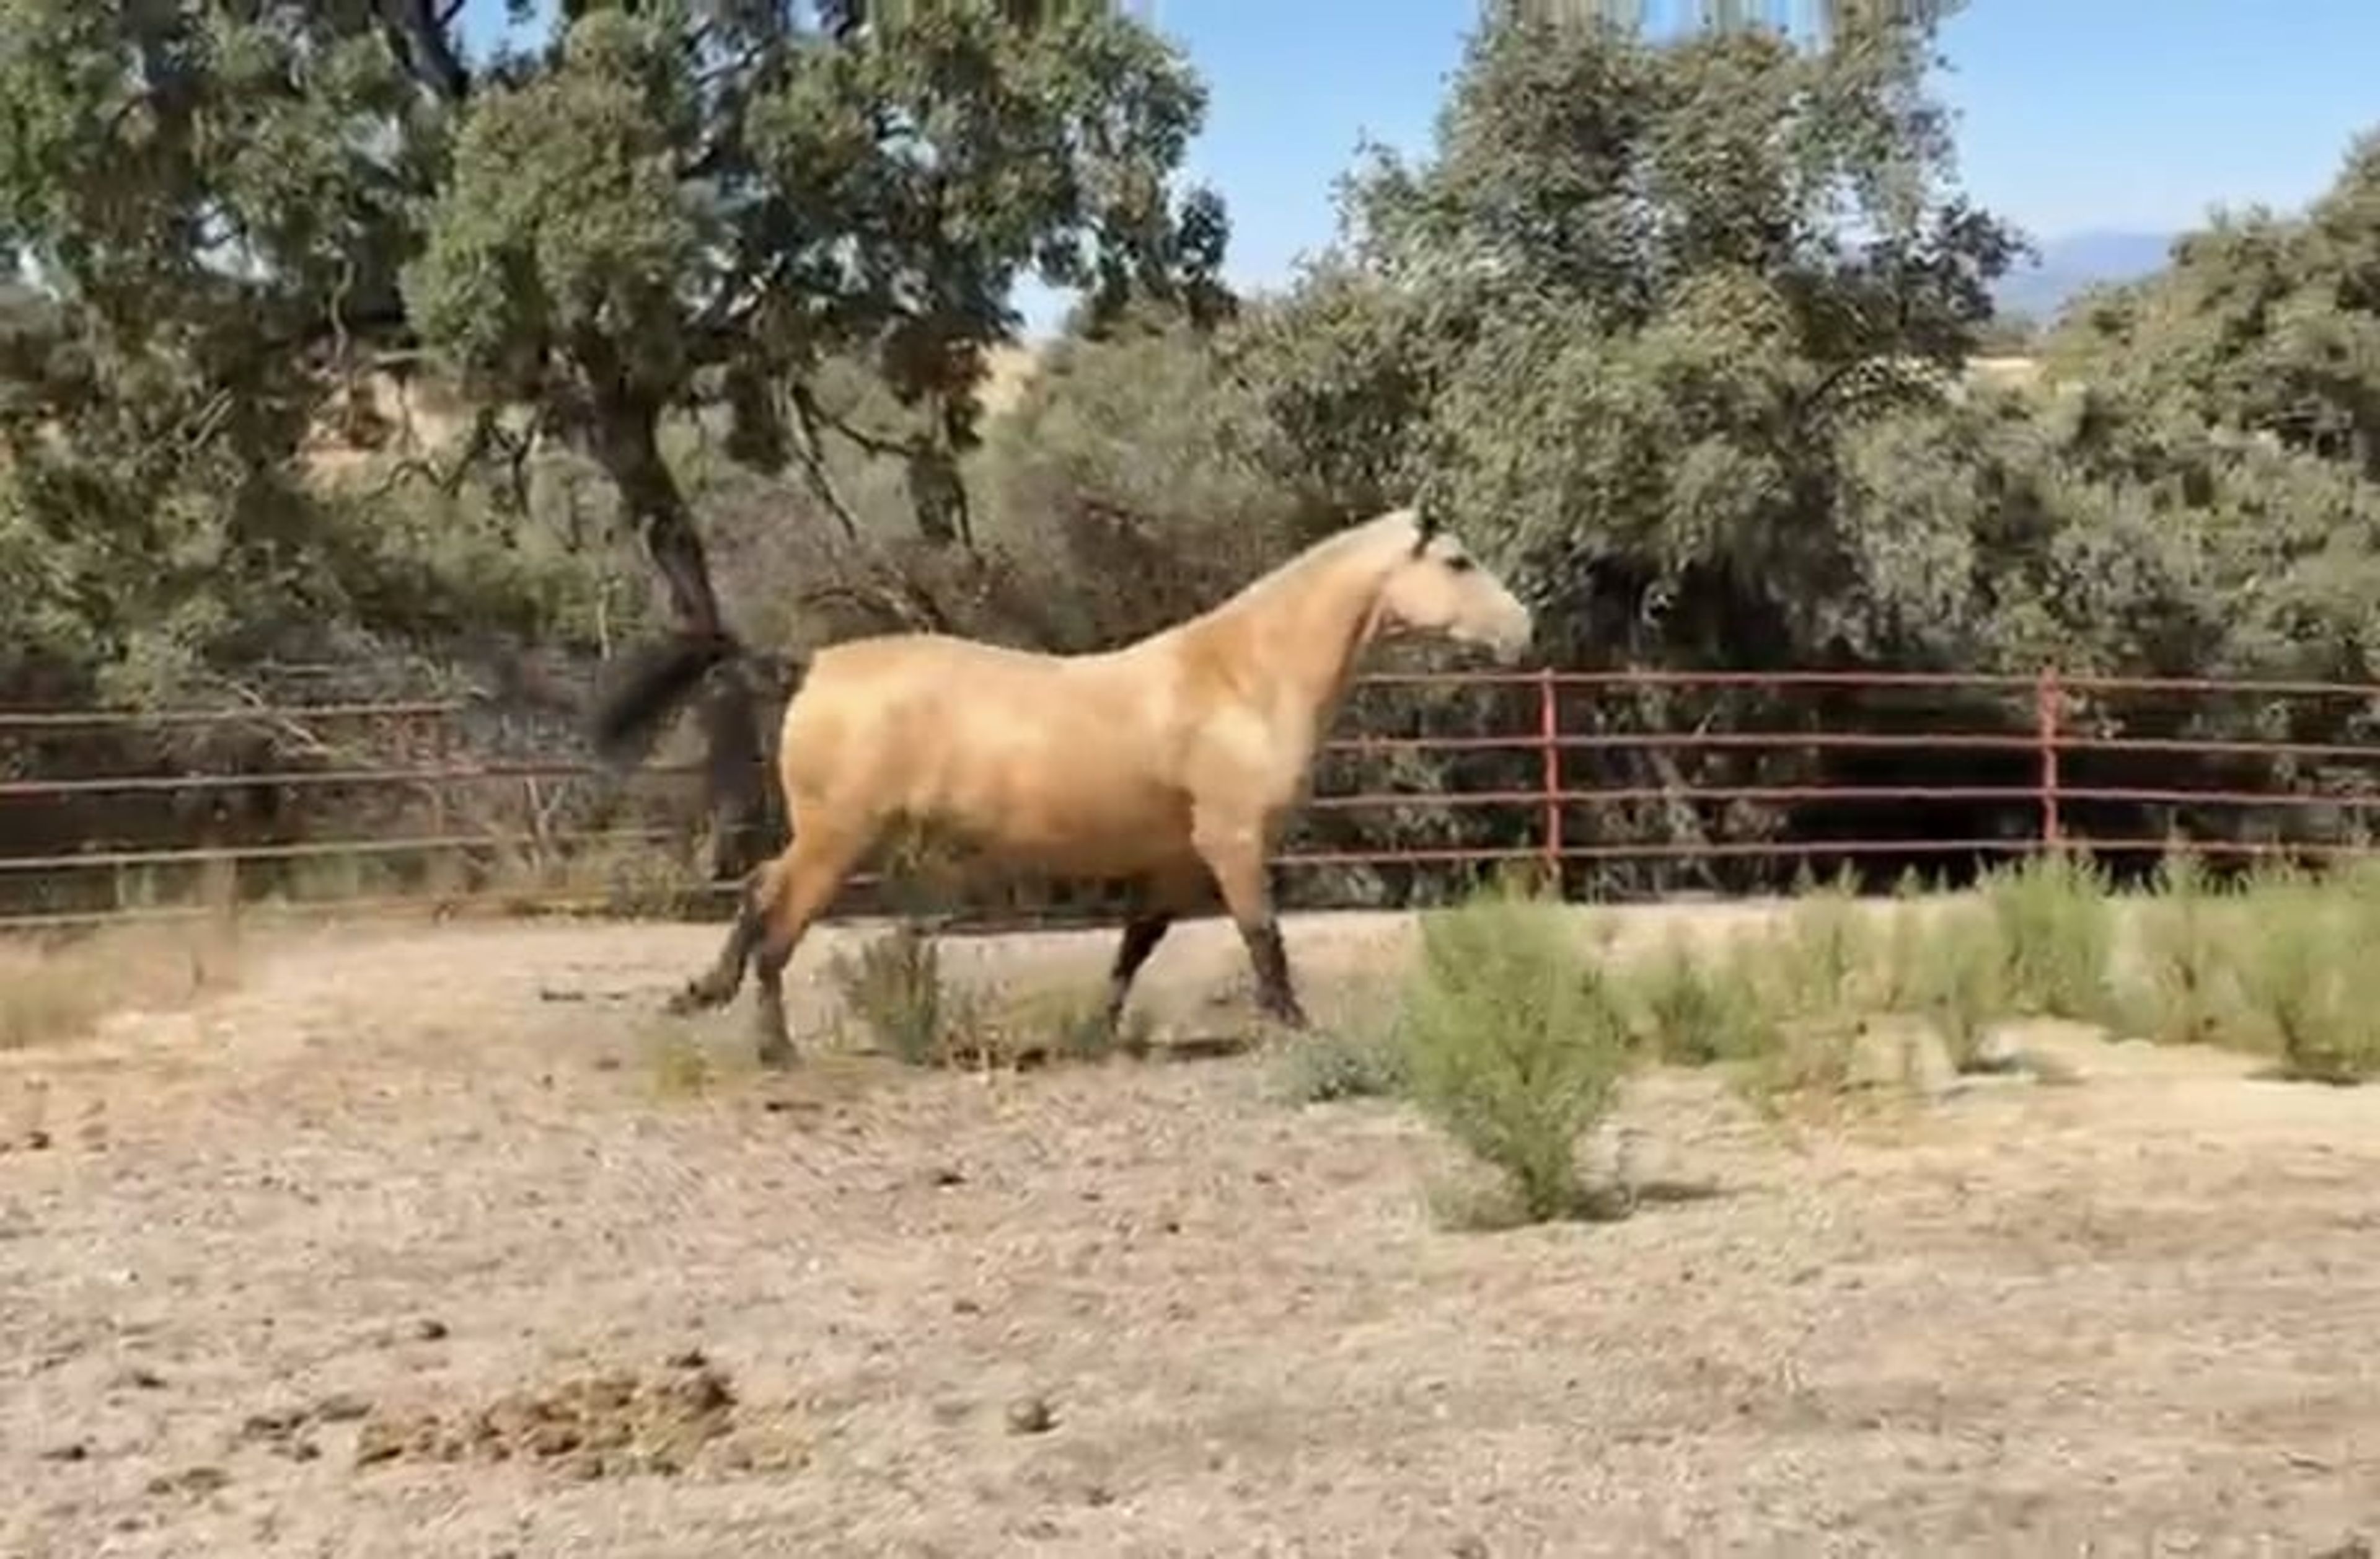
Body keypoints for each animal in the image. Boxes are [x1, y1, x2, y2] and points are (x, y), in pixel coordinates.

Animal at [588, 503, 1536, 1067]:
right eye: (1458, 560)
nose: (1523, 630)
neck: (1240, 679)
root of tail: (810, 663)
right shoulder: (1234, 842)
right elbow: (1264, 938)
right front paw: (1298, 1029)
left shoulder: (1175, 860)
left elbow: (1134, 947)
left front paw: (1097, 1032)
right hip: (838, 838)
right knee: (778, 919)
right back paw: (774, 1046)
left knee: (756, 892)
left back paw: (704, 996)